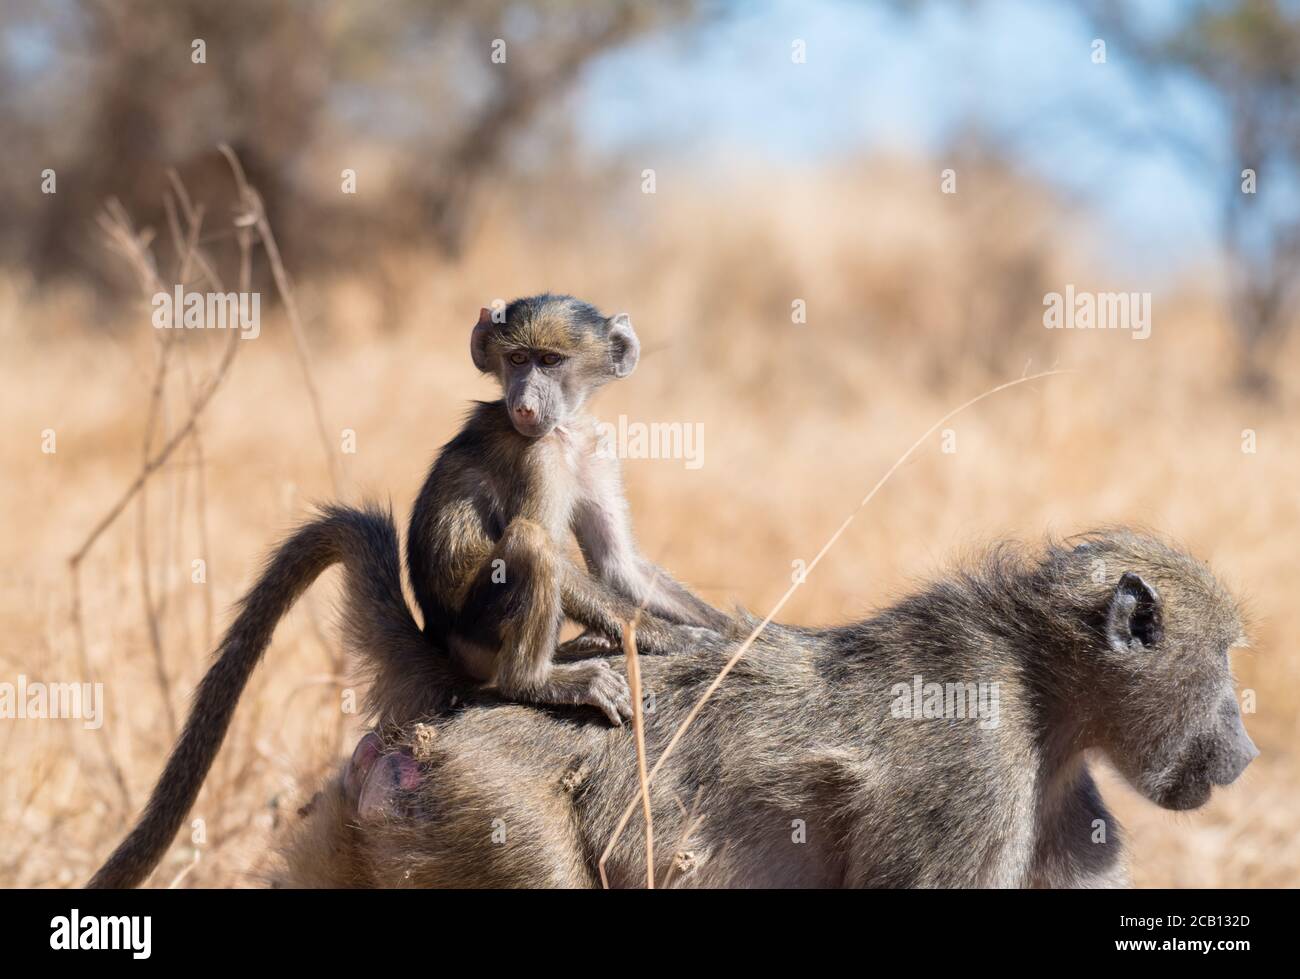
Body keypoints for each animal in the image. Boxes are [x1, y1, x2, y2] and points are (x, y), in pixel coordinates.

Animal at [275, 528, 1258, 888]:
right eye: (1224, 661)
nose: (1245, 751)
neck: (1042, 690)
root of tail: (449, 711)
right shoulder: (972, 777)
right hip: (488, 808)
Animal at [405, 294, 731, 726]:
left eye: (550, 361)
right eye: (517, 359)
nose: (525, 406)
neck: (565, 431)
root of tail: (440, 641)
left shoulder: (595, 448)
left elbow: (618, 564)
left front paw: (746, 631)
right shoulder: (537, 457)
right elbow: (559, 559)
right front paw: (677, 638)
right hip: (476, 633)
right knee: (532, 543)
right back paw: (537, 682)